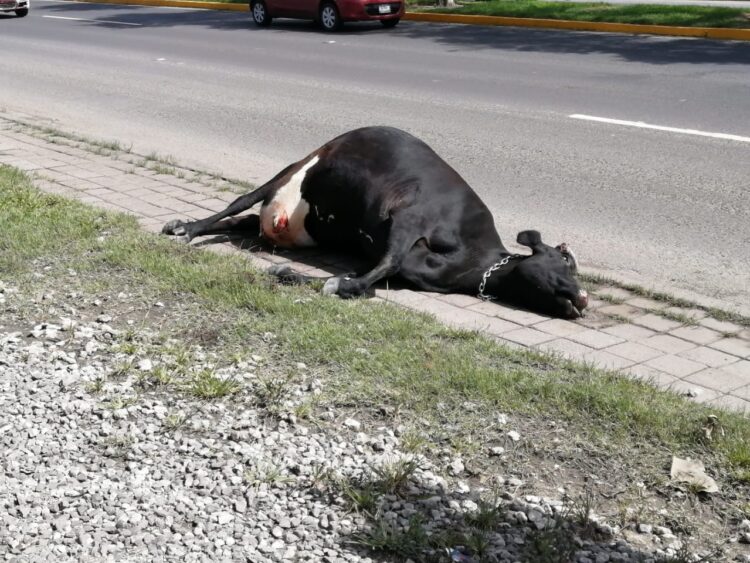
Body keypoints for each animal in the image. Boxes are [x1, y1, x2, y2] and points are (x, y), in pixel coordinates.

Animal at [162, 126, 588, 319]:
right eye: (566, 259)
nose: (583, 298)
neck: (471, 262)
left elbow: (373, 273)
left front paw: (306, 277)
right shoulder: (409, 216)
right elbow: (382, 266)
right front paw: (330, 283)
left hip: (303, 225)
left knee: (247, 220)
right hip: (298, 166)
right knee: (239, 202)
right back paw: (185, 228)